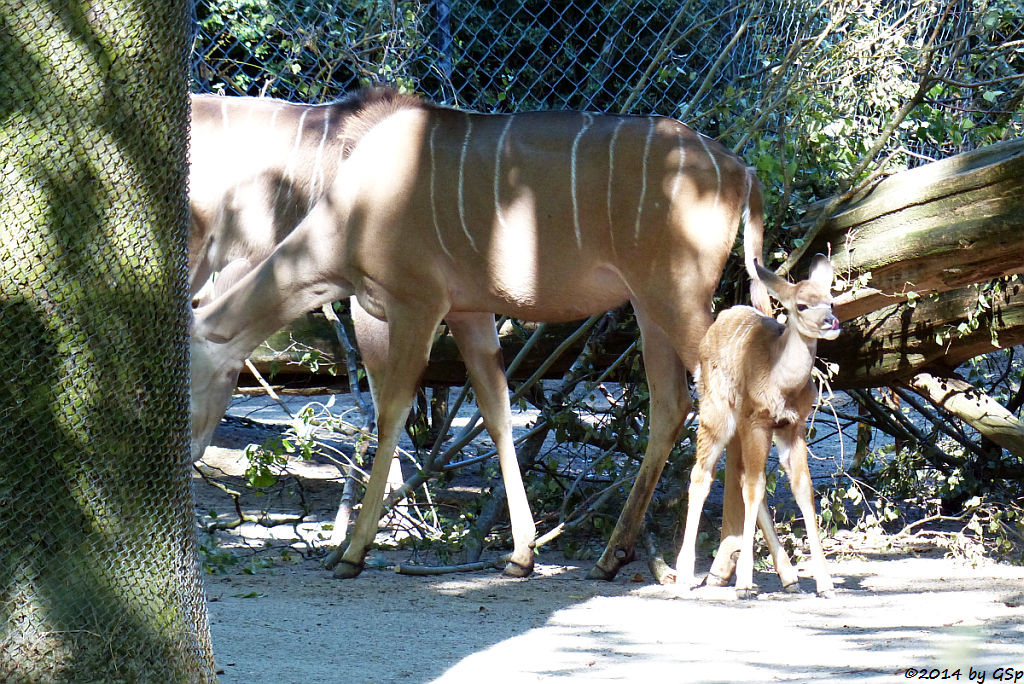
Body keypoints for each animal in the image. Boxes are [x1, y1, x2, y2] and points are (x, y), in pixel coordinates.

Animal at [188, 83, 770, 577]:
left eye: (184, 381)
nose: (184, 455)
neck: (352, 208)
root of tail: (741, 171)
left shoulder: (414, 303)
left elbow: (391, 410)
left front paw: (352, 552)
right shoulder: (469, 313)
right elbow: (497, 412)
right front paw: (520, 554)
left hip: (675, 293)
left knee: (723, 396)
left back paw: (726, 565)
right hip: (651, 306)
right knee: (674, 403)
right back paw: (620, 556)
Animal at [671, 253, 839, 593]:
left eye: (831, 301)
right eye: (802, 305)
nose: (832, 322)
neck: (782, 383)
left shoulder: (793, 427)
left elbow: (803, 488)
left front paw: (826, 583)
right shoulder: (756, 421)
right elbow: (754, 486)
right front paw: (745, 581)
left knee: (736, 473)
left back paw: (786, 576)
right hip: (716, 411)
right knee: (702, 475)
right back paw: (685, 575)